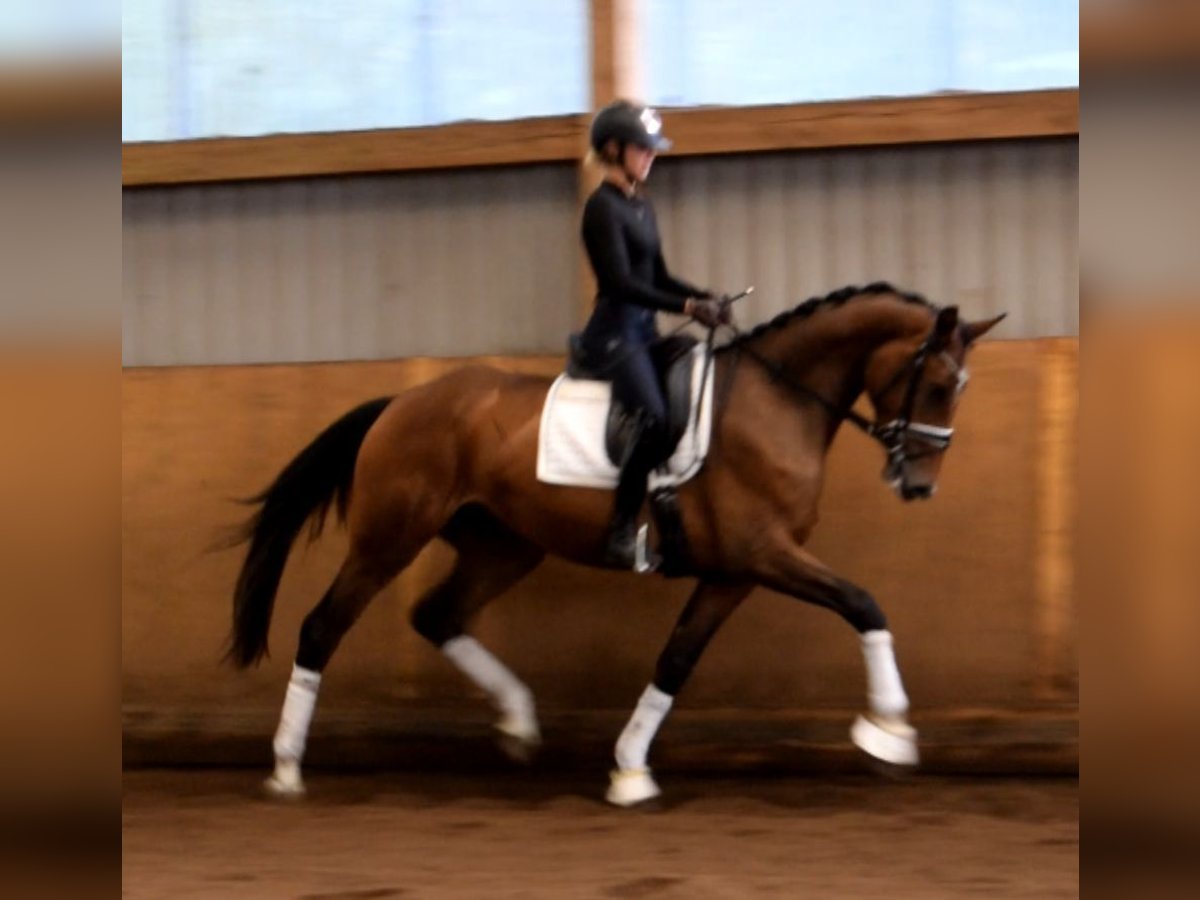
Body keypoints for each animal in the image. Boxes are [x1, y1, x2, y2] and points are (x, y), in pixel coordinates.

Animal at [225, 285, 1003, 806]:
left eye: (961, 389)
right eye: (938, 383)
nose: (919, 485)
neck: (778, 403)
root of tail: (402, 402)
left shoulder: (734, 572)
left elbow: (677, 660)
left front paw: (629, 768)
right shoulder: (764, 554)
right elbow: (864, 604)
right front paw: (889, 733)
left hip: (505, 544)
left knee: (438, 616)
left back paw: (518, 722)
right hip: (389, 538)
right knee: (322, 627)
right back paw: (287, 767)